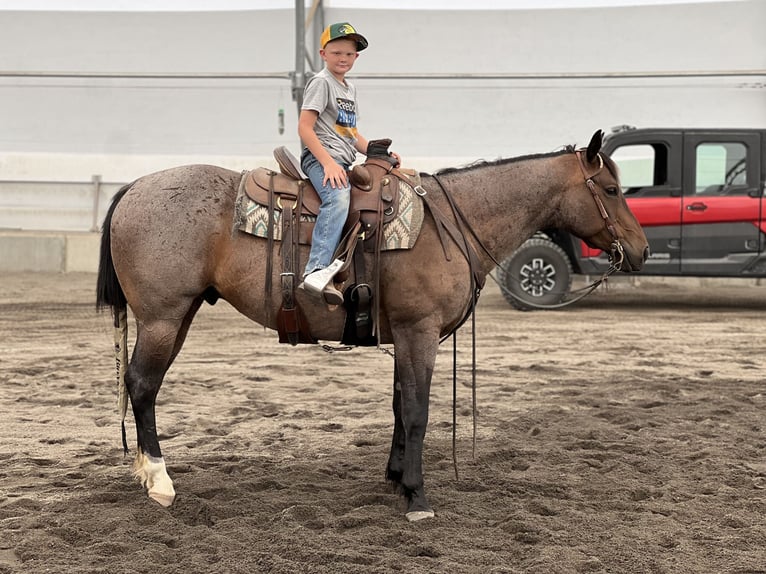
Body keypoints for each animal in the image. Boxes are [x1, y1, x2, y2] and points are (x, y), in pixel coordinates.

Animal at [96, 130, 649, 521]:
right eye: (612, 188)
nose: (641, 250)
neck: (451, 222)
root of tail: (135, 188)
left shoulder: (404, 335)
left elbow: (401, 408)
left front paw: (396, 477)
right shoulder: (419, 331)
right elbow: (419, 412)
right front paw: (418, 497)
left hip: (180, 314)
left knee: (138, 386)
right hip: (164, 317)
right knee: (142, 386)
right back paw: (160, 482)